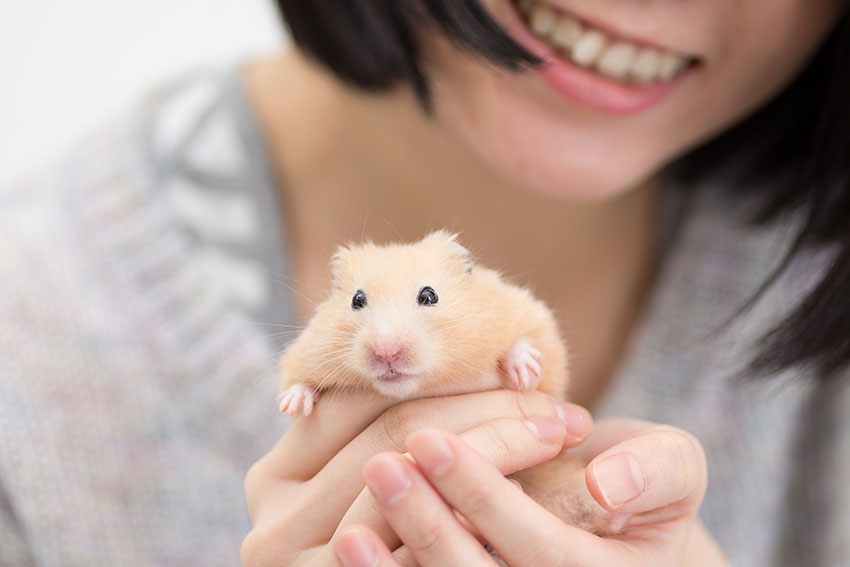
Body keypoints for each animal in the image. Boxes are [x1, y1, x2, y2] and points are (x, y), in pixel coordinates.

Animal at [280, 229, 568, 414]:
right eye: (357, 300)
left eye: (429, 296)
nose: (387, 352)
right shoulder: (305, 350)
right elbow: (296, 378)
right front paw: (293, 405)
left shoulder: (530, 315)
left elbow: (528, 339)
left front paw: (525, 372)